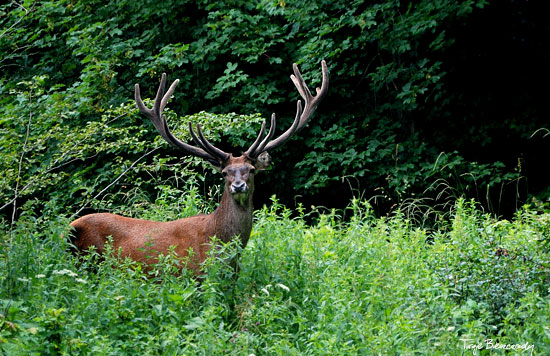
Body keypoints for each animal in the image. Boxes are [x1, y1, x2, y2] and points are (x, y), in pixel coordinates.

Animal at [68, 59, 328, 274]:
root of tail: (69, 228)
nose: (238, 185)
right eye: (224, 172)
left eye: (252, 170)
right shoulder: (193, 276)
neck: (218, 241)